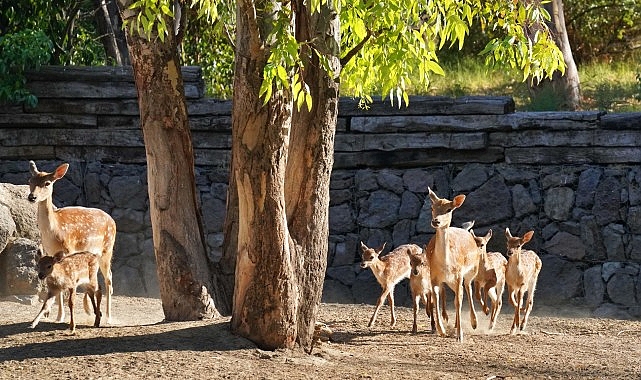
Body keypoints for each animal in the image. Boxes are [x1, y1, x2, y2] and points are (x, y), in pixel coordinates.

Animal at [28, 160, 116, 324]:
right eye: (30, 181)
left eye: (47, 183)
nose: (32, 197)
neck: (53, 232)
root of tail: (112, 220)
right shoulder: (49, 252)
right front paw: (58, 317)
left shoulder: (69, 248)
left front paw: (64, 316)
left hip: (107, 249)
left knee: (109, 279)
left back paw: (108, 317)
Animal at [428, 187, 478, 342]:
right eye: (432, 207)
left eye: (449, 209)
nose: (436, 221)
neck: (445, 265)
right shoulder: (433, 276)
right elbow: (436, 298)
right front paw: (441, 330)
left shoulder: (458, 274)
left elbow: (458, 301)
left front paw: (460, 336)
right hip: (449, 280)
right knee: (458, 292)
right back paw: (454, 324)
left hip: (472, 271)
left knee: (467, 289)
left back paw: (474, 322)